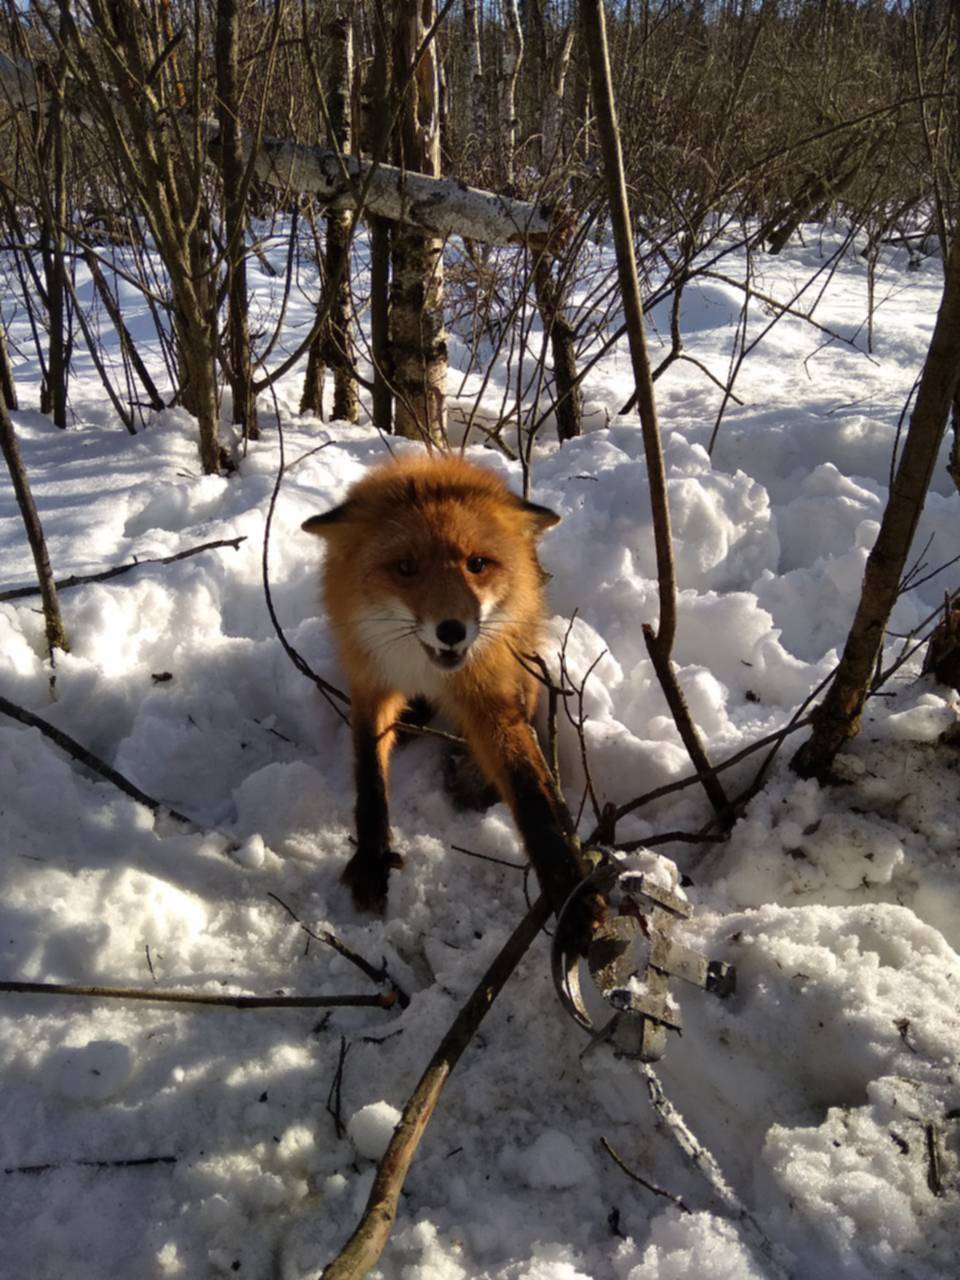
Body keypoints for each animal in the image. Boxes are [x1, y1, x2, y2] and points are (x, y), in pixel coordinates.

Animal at [304, 455, 599, 936]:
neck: (422, 667)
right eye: (406, 568)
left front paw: (572, 892)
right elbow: (370, 776)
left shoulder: (489, 688)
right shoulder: (371, 681)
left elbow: (530, 790)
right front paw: (371, 859)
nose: (452, 630)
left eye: (476, 563)